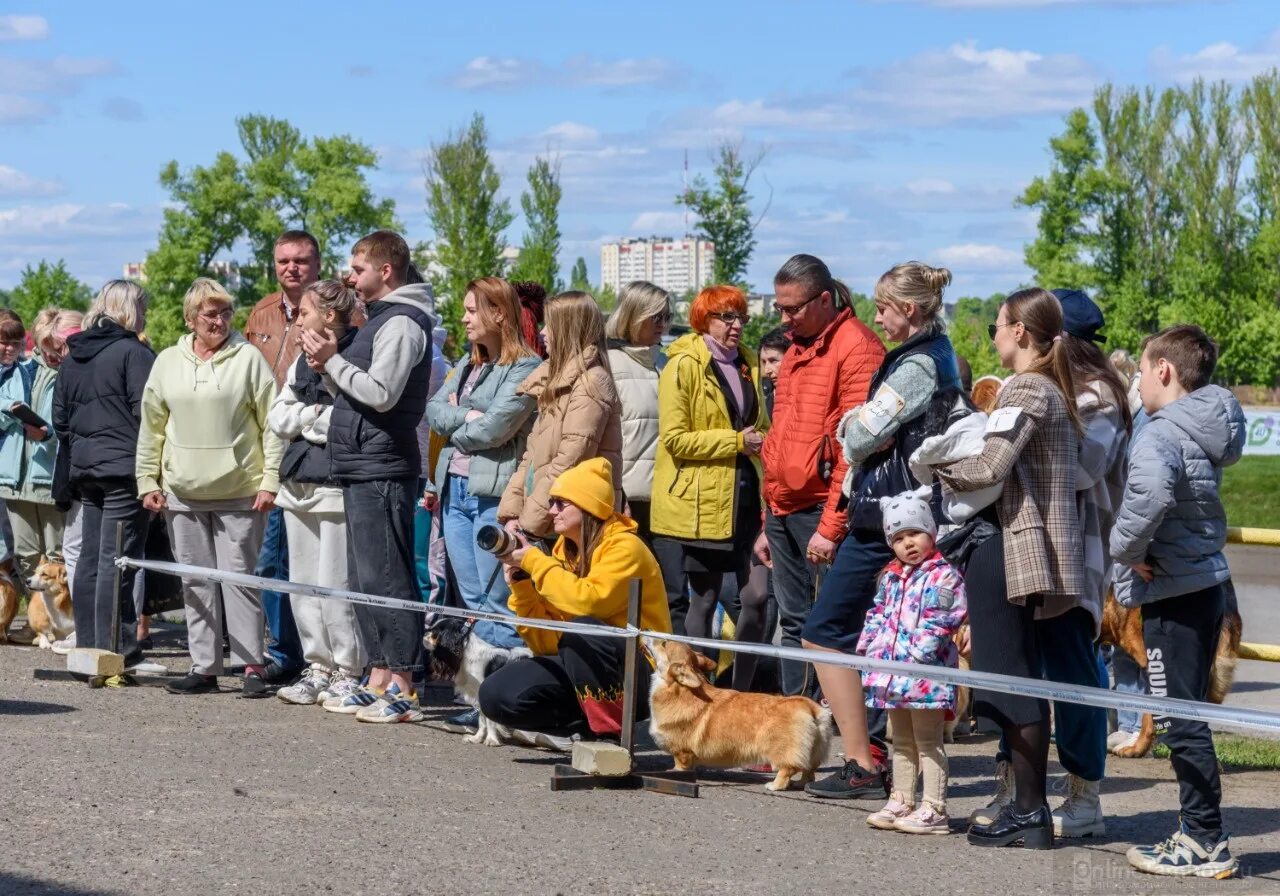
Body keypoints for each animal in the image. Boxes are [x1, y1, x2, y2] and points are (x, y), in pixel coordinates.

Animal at [424, 611, 529, 747]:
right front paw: (477, 738)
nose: (425, 633)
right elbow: (482, 720)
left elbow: (489, 721)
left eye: (435, 634)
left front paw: (491, 740)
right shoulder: (478, 696)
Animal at [645, 637, 834, 788]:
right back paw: (801, 784)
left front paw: (674, 774)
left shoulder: (682, 752)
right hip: (815, 751)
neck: (677, 689)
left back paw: (774, 785)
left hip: (781, 750)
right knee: (810, 770)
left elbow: (680, 766)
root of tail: (811, 708)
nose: (647, 632)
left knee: (788, 769)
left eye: (664, 643)